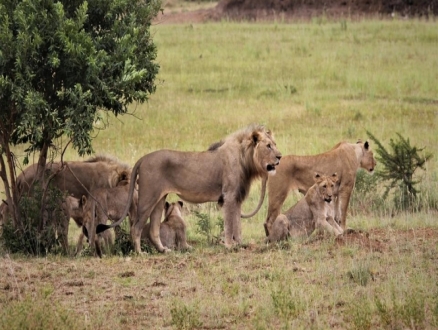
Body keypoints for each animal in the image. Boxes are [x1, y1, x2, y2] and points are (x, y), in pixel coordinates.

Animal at [97, 124, 282, 253]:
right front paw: (230, 246)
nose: (280, 156)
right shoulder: (229, 196)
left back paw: (164, 250)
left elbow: (237, 224)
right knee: (136, 227)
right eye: (268, 146)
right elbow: (230, 224)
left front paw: (240, 244)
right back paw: (139, 253)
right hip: (147, 199)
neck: (246, 159)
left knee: (154, 230)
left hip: (159, 200)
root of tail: (143, 158)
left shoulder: (236, 198)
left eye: (274, 144)